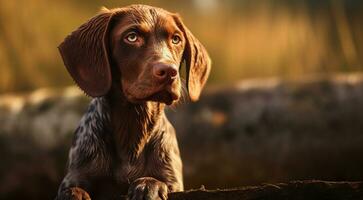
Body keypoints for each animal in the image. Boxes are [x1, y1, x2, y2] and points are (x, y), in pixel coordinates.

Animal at [55, 4, 212, 200]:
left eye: (176, 39)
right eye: (132, 37)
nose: (169, 71)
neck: (134, 123)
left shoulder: (173, 181)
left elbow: (156, 180)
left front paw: (148, 185)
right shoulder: (75, 176)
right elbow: (72, 189)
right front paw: (74, 194)